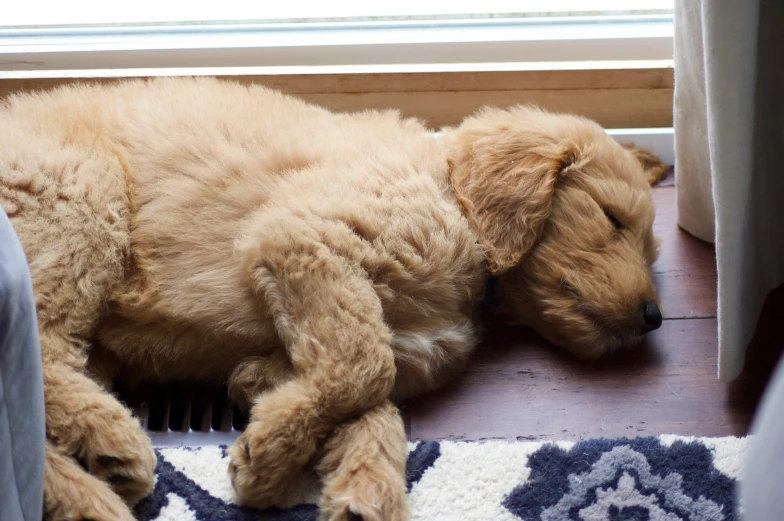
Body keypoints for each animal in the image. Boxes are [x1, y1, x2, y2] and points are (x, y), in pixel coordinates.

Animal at [0, 77, 660, 520]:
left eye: (652, 249)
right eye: (613, 219)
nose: (654, 317)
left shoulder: (339, 316)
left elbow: (372, 397)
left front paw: (363, 490)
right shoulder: (305, 237)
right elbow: (366, 368)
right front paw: (267, 460)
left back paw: (87, 494)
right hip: (80, 199)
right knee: (46, 357)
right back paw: (109, 447)